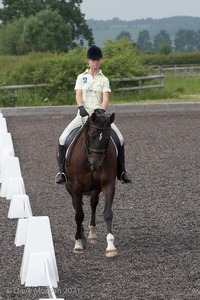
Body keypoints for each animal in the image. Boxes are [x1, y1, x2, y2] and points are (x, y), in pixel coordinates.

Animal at [64, 110, 118, 258]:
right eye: (92, 135)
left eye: (108, 137)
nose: (96, 165)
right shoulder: (76, 188)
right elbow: (78, 215)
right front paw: (78, 244)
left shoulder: (108, 184)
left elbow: (107, 213)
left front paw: (111, 246)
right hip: (70, 188)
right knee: (77, 207)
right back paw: (82, 235)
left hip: (95, 188)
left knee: (93, 203)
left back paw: (92, 234)